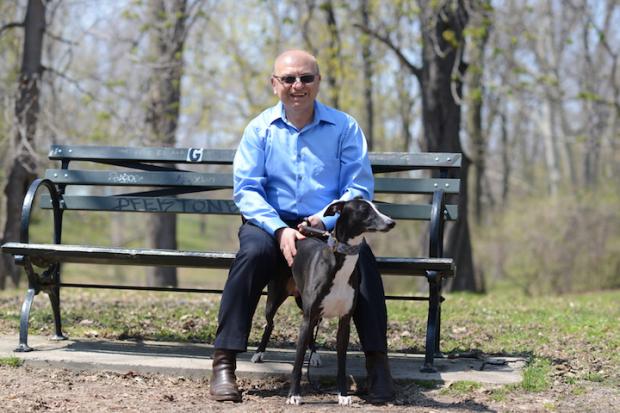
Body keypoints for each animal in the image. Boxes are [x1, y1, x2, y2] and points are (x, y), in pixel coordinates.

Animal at [252, 197, 392, 406]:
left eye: (377, 208)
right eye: (364, 210)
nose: (391, 222)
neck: (339, 263)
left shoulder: (344, 322)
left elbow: (341, 365)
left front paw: (342, 395)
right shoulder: (308, 317)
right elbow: (297, 363)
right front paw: (293, 395)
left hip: (307, 308)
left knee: (309, 332)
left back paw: (315, 355)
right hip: (276, 299)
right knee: (270, 323)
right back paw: (259, 352)